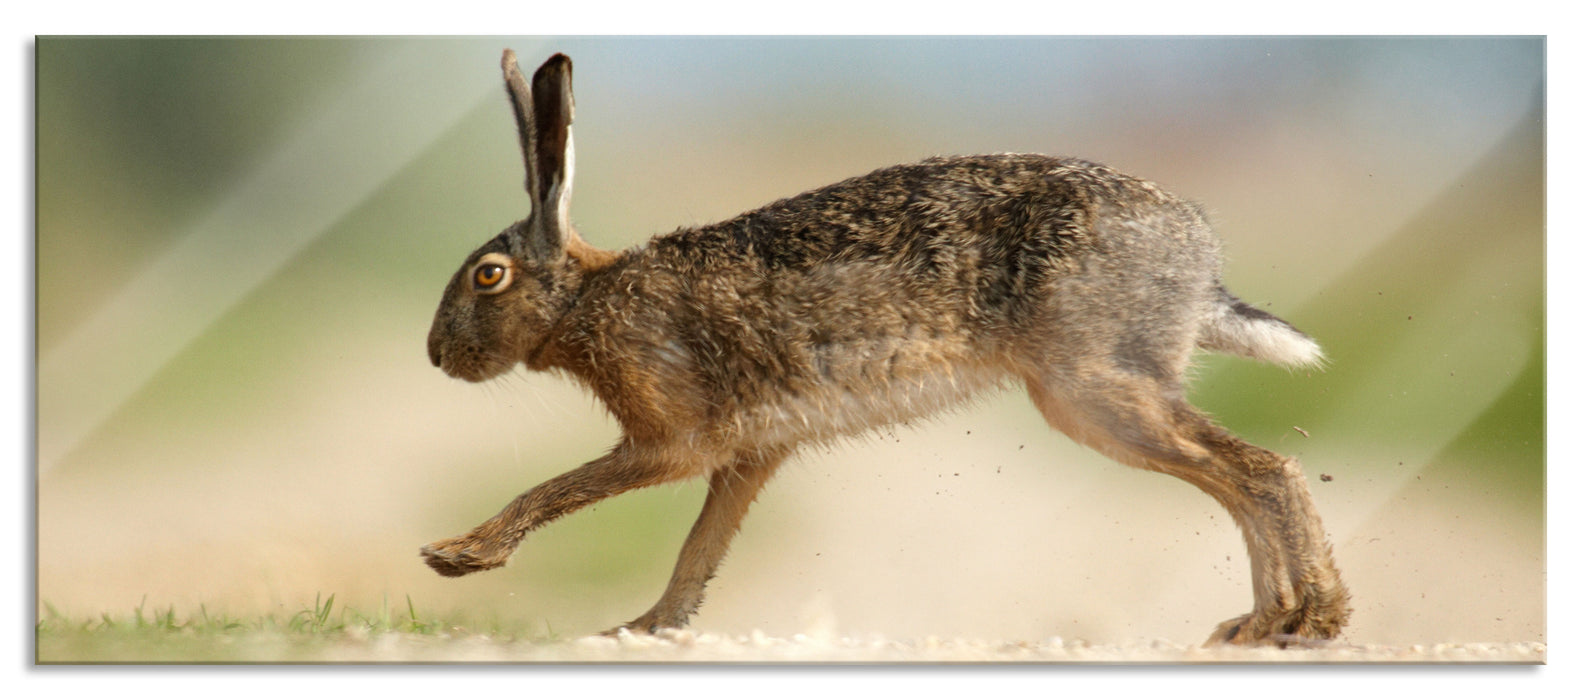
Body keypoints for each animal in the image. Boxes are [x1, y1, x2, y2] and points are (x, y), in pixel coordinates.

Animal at [421, 49, 1350, 647]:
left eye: (488, 277)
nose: (435, 356)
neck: (585, 299)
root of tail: (1198, 255)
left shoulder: (673, 439)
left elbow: (562, 487)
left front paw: (458, 557)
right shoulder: (750, 453)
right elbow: (699, 550)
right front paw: (644, 628)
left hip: (1093, 390)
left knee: (1263, 471)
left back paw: (1308, 619)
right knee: (1239, 479)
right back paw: (1261, 624)